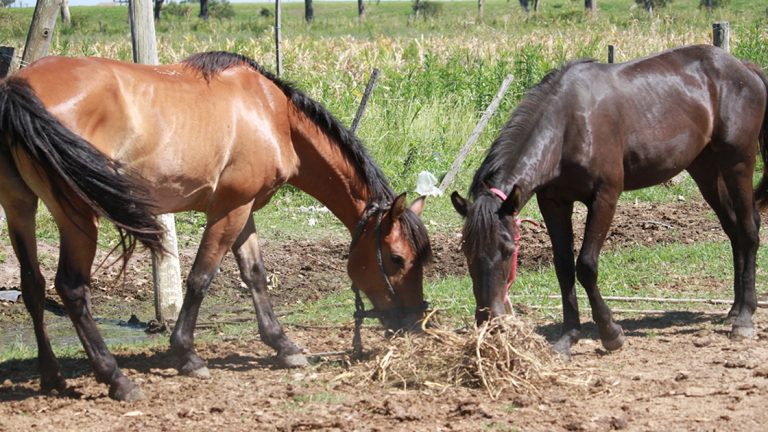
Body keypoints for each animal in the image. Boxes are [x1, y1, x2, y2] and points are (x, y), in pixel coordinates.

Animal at [0, 51, 432, 400]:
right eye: (397, 259)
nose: (413, 323)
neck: (272, 114)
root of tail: (15, 87)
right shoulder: (229, 209)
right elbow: (200, 278)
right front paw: (187, 354)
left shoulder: (244, 209)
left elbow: (255, 275)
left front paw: (283, 345)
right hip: (76, 215)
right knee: (71, 289)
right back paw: (117, 379)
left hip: (19, 205)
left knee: (34, 286)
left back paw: (52, 375)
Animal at [451, 45, 768, 360]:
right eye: (466, 250)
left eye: (508, 250)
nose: (488, 319)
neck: (568, 126)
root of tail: (744, 67)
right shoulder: (554, 203)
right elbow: (563, 267)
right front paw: (568, 337)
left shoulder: (604, 197)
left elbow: (586, 266)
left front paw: (611, 333)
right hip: (705, 168)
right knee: (733, 230)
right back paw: (734, 309)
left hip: (737, 162)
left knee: (749, 230)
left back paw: (744, 318)